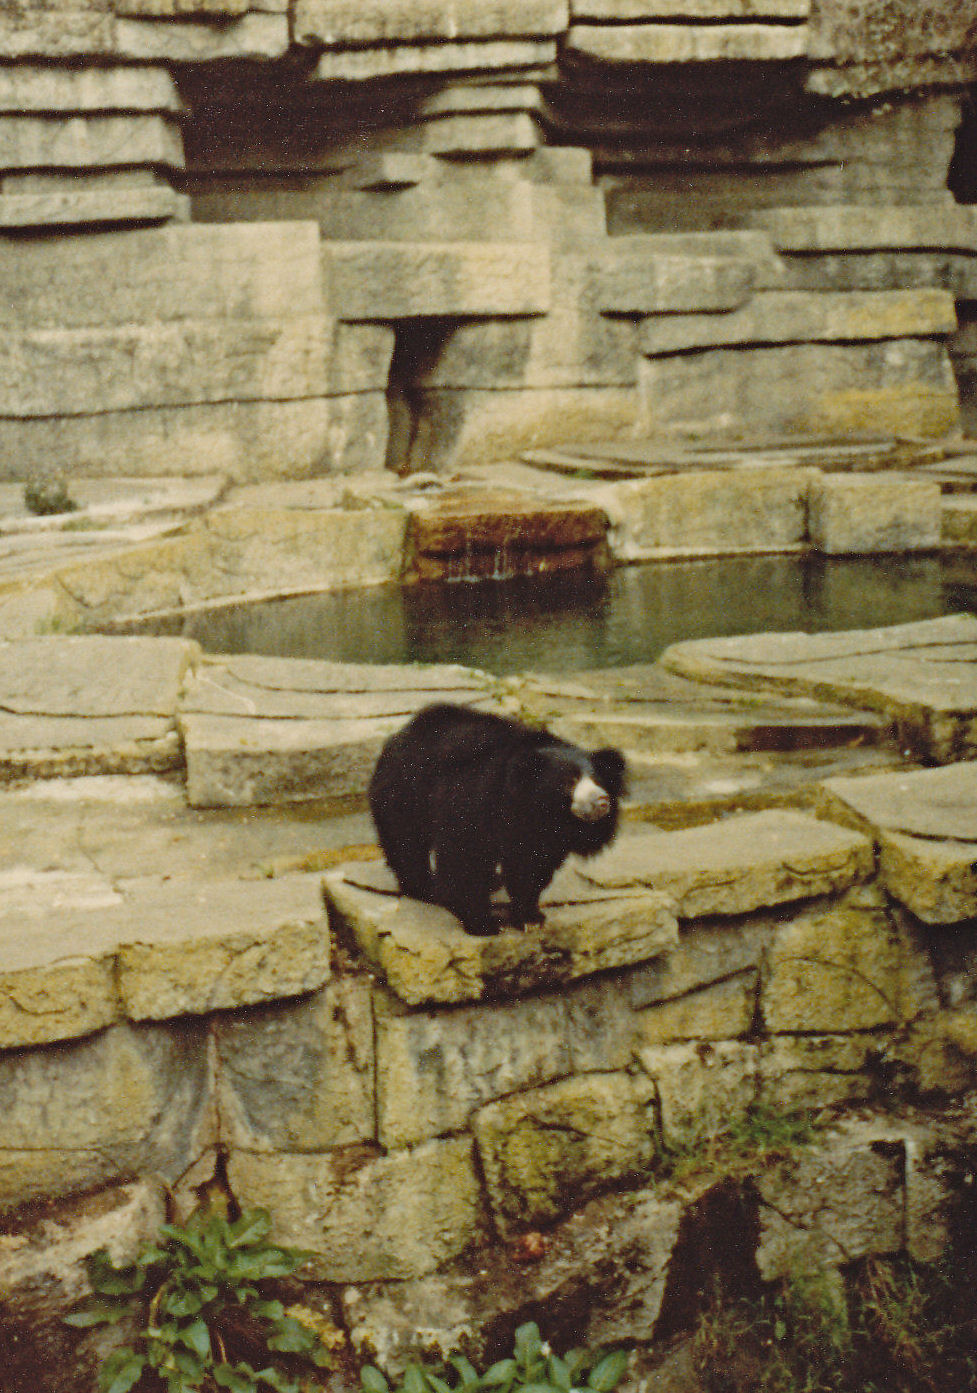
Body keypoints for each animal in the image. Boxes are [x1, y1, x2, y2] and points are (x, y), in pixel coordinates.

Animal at [368, 702, 626, 937]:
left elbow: (530, 867)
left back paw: (493, 881)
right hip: (405, 793)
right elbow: (465, 858)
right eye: (569, 782)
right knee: (407, 844)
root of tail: (403, 733)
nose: (601, 800)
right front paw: (484, 924)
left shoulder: (540, 836)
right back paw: (425, 890)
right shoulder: (474, 800)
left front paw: (531, 918)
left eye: (597, 780)